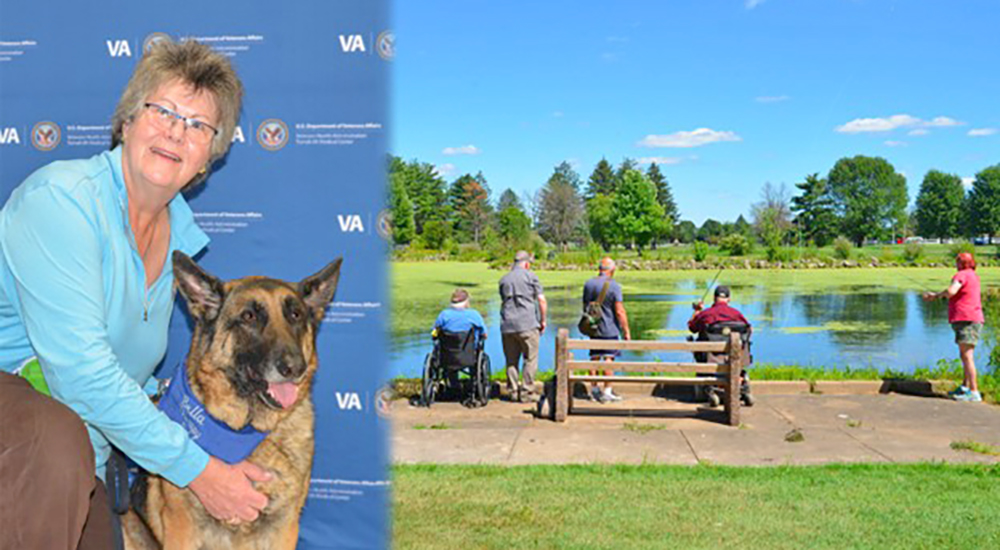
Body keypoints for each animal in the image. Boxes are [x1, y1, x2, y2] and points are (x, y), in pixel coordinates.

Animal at [124, 253, 344, 550]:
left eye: (295, 315)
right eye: (249, 317)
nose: (294, 367)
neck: (246, 430)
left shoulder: (284, 529)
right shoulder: (183, 530)